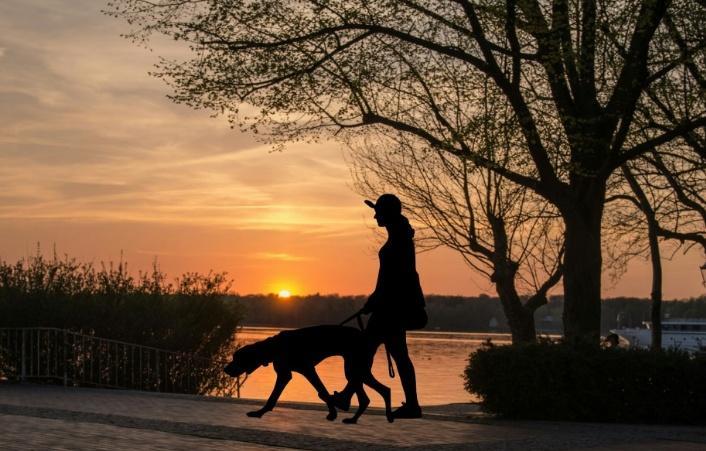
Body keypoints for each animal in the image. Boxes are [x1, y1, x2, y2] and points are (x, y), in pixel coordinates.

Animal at [224, 324, 394, 424]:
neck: (275, 347)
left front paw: (332, 413)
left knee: (380, 391)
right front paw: (259, 413)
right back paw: (356, 419)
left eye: (237, 358)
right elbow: (273, 398)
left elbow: (322, 391)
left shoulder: (307, 370)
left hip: (355, 368)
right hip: (355, 369)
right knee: (373, 395)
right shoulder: (287, 374)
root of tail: (367, 338)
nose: (225, 369)